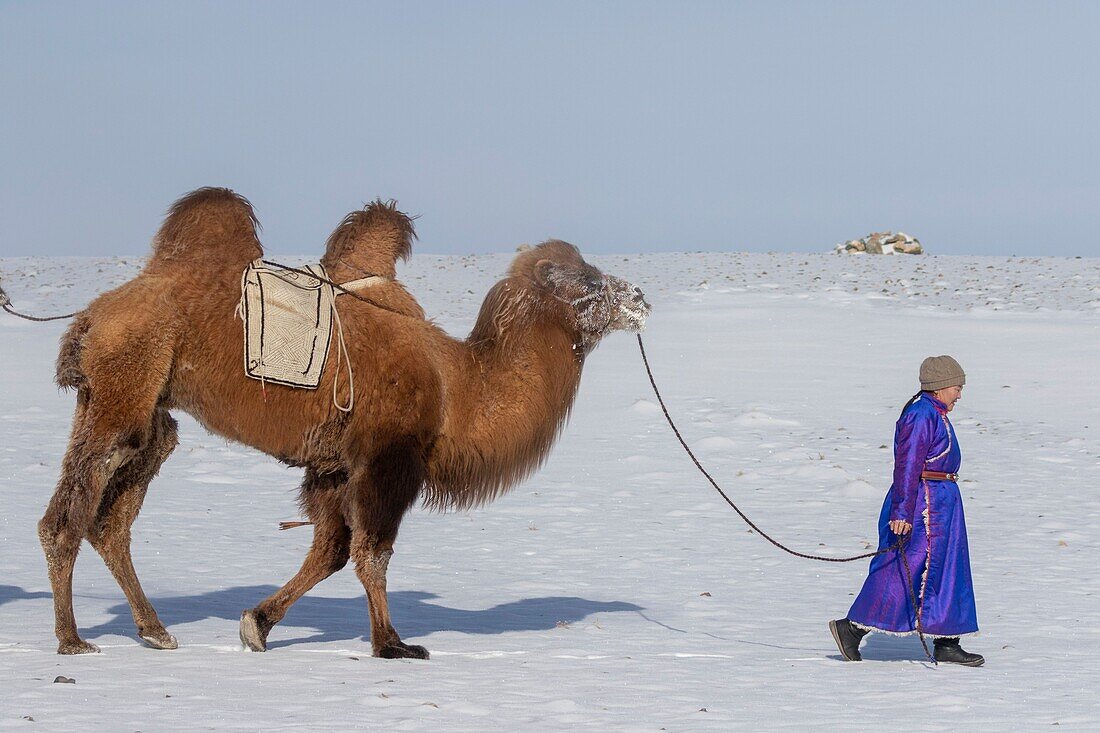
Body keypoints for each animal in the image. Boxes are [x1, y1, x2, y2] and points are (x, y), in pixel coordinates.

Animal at [38, 188, 646, 655]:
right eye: (587, 281)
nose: (638, 297)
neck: (458, 386)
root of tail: (92, 315)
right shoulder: (388, 459)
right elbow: (371, 552)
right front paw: (392, 643)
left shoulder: (332, 466)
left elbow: (329, 551)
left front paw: (257, 625)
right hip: (123, 389)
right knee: (67, 516)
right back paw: (71, 640)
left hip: (144, 410)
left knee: (112, 517)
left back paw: (155, 630)